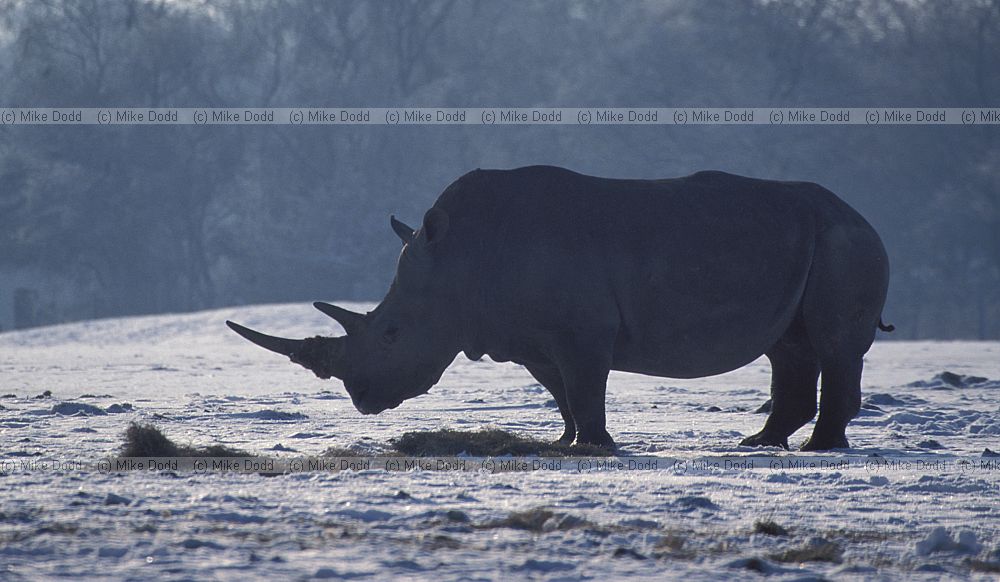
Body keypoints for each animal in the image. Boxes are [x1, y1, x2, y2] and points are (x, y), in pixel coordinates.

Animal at [228, 166, 893, 450]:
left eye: (391, 333)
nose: (361, 399)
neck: (457, 263)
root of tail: (863, 216)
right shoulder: (525, 335)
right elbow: (561, 390)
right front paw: (566, 440)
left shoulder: (583, 332)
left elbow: (584, 384)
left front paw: (593, 448)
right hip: (809, 241)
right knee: (789, 347)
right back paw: (759, 444)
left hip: (845, 242)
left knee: (832, 346)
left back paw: (819, 450)